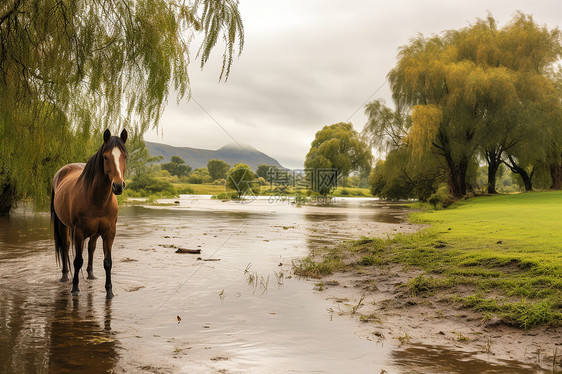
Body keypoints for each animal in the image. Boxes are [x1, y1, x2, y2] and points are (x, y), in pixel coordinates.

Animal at [50, 130, 127, 300]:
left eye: (125, 156)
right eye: (105, 157)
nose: (118, 186)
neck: (97, 199)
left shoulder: (109, 232)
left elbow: (107, 262)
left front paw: (109, 291)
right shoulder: (78, 232)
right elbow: (77, 260)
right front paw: (75, 288)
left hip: (95, 232)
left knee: (91, 247)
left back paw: (90, 274)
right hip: (63, 225)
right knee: (65, 246)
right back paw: (65, 276)